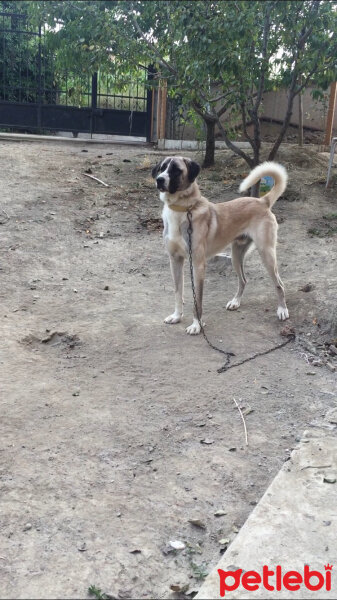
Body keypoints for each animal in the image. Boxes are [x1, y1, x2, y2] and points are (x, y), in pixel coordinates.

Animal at [151, 155, 288, 336]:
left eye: (176, 170)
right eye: (162, 168)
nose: (159, 180)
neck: (181, 209)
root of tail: (262, 200)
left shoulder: (198, 265)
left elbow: (197, 301)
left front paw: (196, 325)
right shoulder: (175, 260)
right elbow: (177, 292)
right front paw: (176, 316)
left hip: (266, 254)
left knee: (279, 284)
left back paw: (282, 310)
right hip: (236, 256)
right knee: (243, 280)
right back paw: (235, 302)